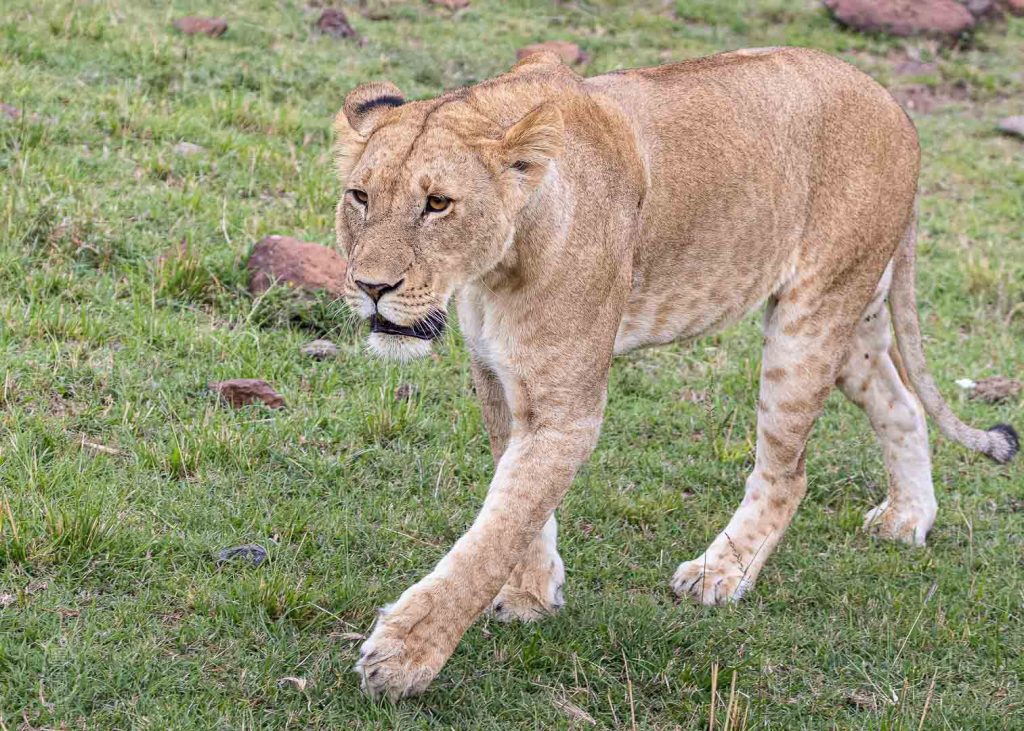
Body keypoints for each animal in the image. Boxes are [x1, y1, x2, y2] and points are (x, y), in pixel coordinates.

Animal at [332, 47, 1018, 700]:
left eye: (437, 204)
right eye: (360, 197)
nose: (370, 288)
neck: (496, 266)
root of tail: (894, 106)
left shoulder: (566, 409)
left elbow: (497, 529)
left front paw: (406, 655)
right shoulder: (497, 375)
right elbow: (517, 504)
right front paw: (532, 592)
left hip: (808, 321)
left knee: (788, 472)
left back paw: (721, 573)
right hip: (854, 320)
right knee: (901, 404)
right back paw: (909, 519)